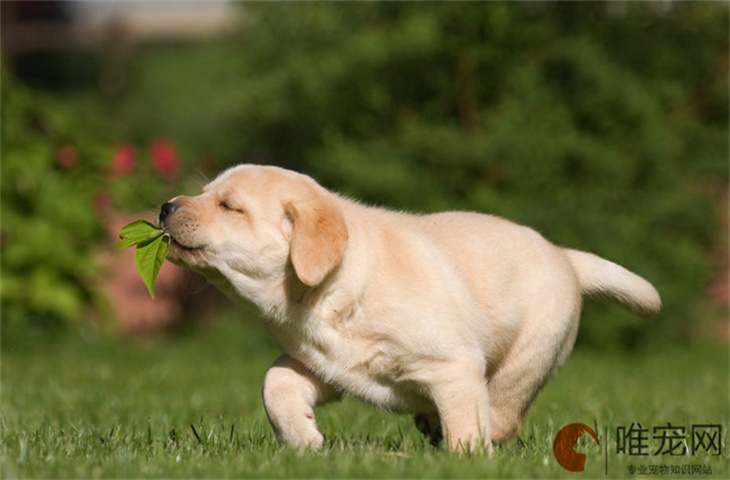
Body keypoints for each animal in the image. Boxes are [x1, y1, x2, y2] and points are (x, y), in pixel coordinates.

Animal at [159, 164, 660, 450]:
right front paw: (303, 440)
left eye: (229, 206)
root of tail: (564, 256)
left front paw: (467, 460)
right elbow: (275, 383)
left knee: (505, 407)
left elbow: (466, 425)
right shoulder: (325, 365)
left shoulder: (453, 365)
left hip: (533, 349)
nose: (165, 206)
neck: (331, 292)